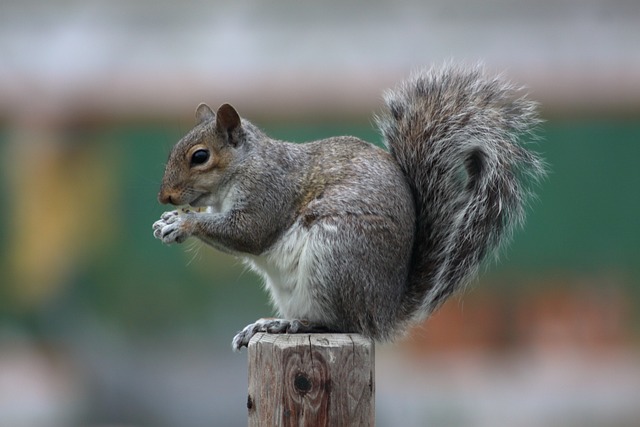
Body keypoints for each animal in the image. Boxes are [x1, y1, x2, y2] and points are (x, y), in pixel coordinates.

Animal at [151, 64, 544, 352]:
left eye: (200, 157)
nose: (165, 198)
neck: (245, 165)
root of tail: (382, 313)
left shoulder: (268, 192)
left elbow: (249, 232)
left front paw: (182, 225)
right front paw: (171, 219)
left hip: (336, 255)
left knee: (341, 322)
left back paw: (289, 324)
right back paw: (267, 325)